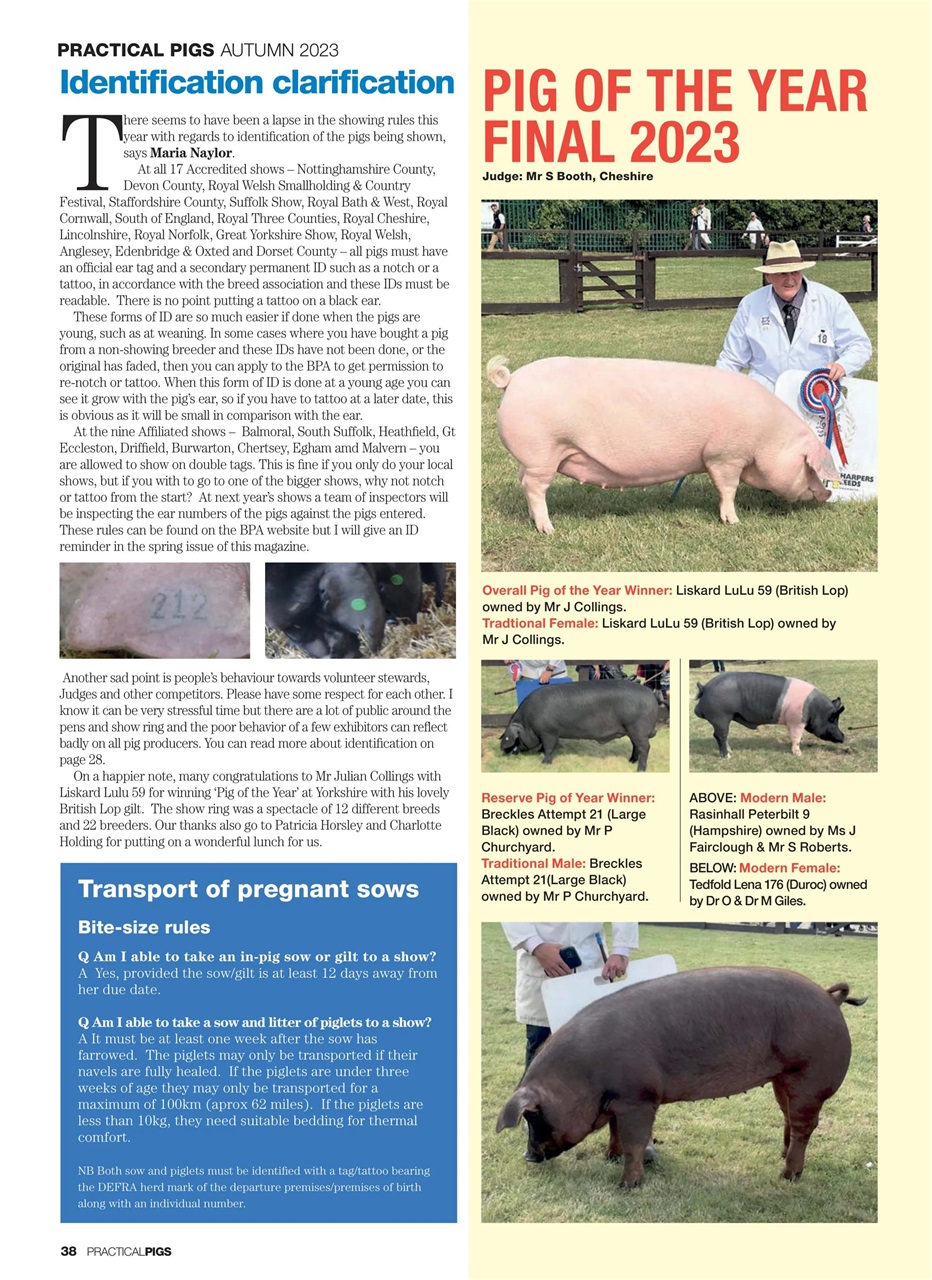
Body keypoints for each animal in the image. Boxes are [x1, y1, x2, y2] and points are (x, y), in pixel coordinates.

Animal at [487, 355, 840, 531]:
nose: (828, 495)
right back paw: (548, 528)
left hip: (534, 457)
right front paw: (733, 522)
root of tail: (513, 379)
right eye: (810, 467)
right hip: (543, 452)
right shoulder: (725, 455)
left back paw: (534, 522)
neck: (767, 436)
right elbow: (727, 489)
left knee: (523, 482)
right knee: (535, 488)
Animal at [497, 966, 867, 1188]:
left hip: (811, 1076)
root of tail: (829, 997)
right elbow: (617, 1133)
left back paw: (788, 1175)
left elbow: (634, 1143)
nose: (527, 1157)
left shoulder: (639, 1098)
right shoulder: (619, 1100)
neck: (582, 1077)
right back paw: (782, 1157)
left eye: (533, 1117)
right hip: (782, 1078)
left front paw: (626, 1185)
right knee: (789, 1117)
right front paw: (609, 1157)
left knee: (805, 1125)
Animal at [500, 680, 659, 769]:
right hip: (633, 731)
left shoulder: (548, 732)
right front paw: (540, 752)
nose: (504, 752)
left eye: (513, 738)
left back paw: (640, 769)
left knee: (645, 748)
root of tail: (651, 695)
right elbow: (545, 746)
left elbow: (549, 747)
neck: (528, 722)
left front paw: (544, 763)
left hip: (638, 729)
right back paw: (631, 761)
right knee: (635, 746)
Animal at [694, 671, 845, 757]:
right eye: (832, 719)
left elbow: (792, 736)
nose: (844, 737)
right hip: (720, 716)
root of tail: (705, 688)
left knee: (723, 736)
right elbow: (796, 738)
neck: (815, 708)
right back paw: (727, 756)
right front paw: (799, 754)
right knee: (719, 736)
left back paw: (730, 752)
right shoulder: (797, 721)